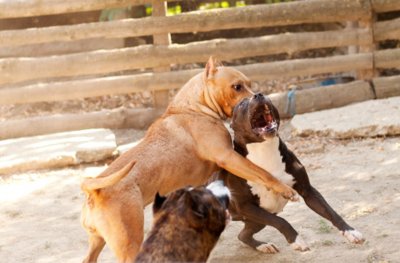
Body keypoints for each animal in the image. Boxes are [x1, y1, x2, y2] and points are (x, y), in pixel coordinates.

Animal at [79, 57, 296, 263]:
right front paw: (286, 190)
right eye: (237, 87)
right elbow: (263, 173)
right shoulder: (228, 157)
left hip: (97, 241)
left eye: (249, 84)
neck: (194, 108)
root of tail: (94, 189)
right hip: (129, 243)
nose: (258, 95)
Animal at [217, 94, 364, 255]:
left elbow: (331, 212)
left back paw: (263, 246)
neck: (265, 151)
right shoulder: (244, 206)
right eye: (242, 104)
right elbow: (280, 221)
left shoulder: (308, 191)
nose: (259, 95)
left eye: (266, 96)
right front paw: (296, 240)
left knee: (242, 235)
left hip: (256, 220)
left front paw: (350, 232)